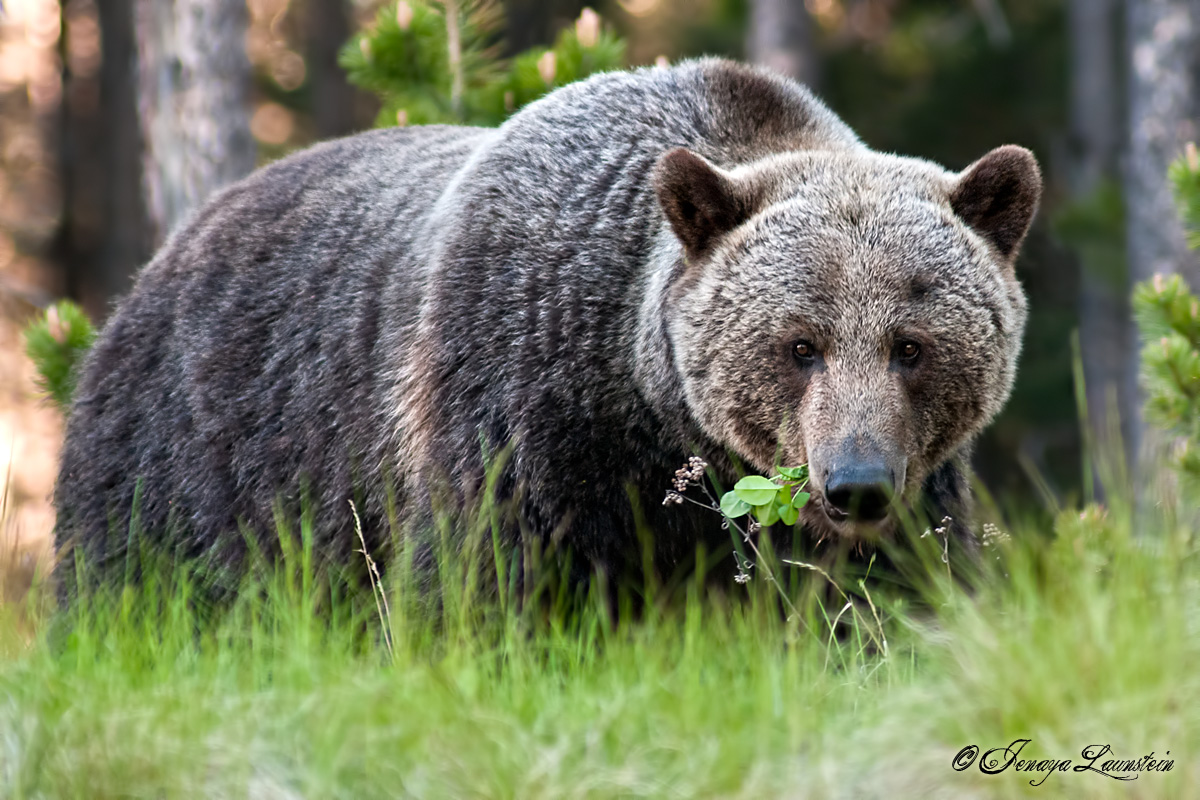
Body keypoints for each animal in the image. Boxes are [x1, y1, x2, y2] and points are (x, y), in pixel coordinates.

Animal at [53, 58, 1040, 594]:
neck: (643, 411)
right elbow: (486, 584)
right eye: (800, 345)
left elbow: (890, 597)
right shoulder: (519, 411)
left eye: (911, 345)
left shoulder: (924, 484)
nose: (856, 484)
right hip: (200, 460)